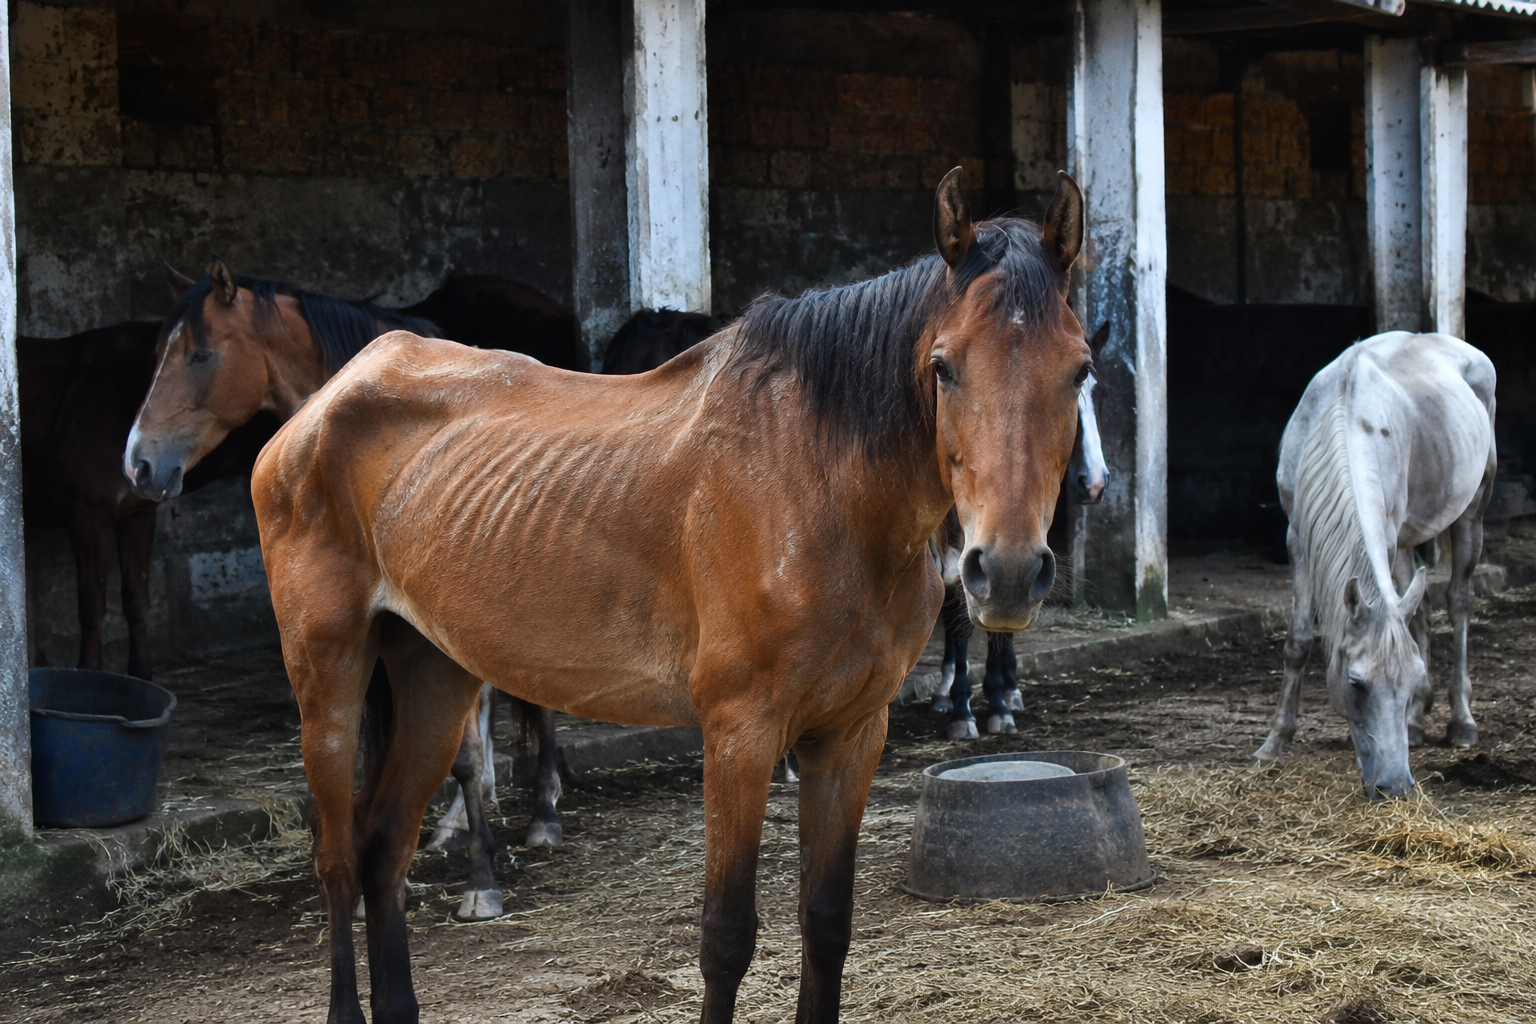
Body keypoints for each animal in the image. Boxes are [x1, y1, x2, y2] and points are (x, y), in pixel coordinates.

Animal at [19, 318, 278, 680]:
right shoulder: (86, 513)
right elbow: (92, 603)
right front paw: (89, 674)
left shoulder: (138, 512)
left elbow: (136, 597)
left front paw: (142, 672)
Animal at [121, 262, 567, 920]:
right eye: (155, 355)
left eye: (199, 355)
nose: (139, 465)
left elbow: (457, 752)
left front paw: (480, 878)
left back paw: (542, 812)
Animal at [249, 167, 1090, 1024]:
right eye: (944, 366)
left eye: (1080, 370)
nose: (1008, 570)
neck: (819, 484)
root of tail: (329, 400)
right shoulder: (739, 733)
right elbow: (726, 937)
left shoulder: (852, 734)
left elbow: (827, 923)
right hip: (328, 679)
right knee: (338, 860)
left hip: (434, 675)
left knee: (385, 847)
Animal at [931, 322, 1108, 739]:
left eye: (1100, 395)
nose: (1094, 483)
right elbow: (961, 625)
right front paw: (963, 708)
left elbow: (1001, 624)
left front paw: (998, 698)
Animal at [1252, 331, 1496, 799]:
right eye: (1356, 683)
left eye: (1410, 681)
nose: (1395, 786)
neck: (1343, 417)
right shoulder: (1298, 539)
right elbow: (1297, 641)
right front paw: (1273, 745)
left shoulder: (1382, 538)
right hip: (1406, 538)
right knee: (1418, 609)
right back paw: (1417, 725)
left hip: (1471, 511)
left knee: (1459, 601)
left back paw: (1462, 722)